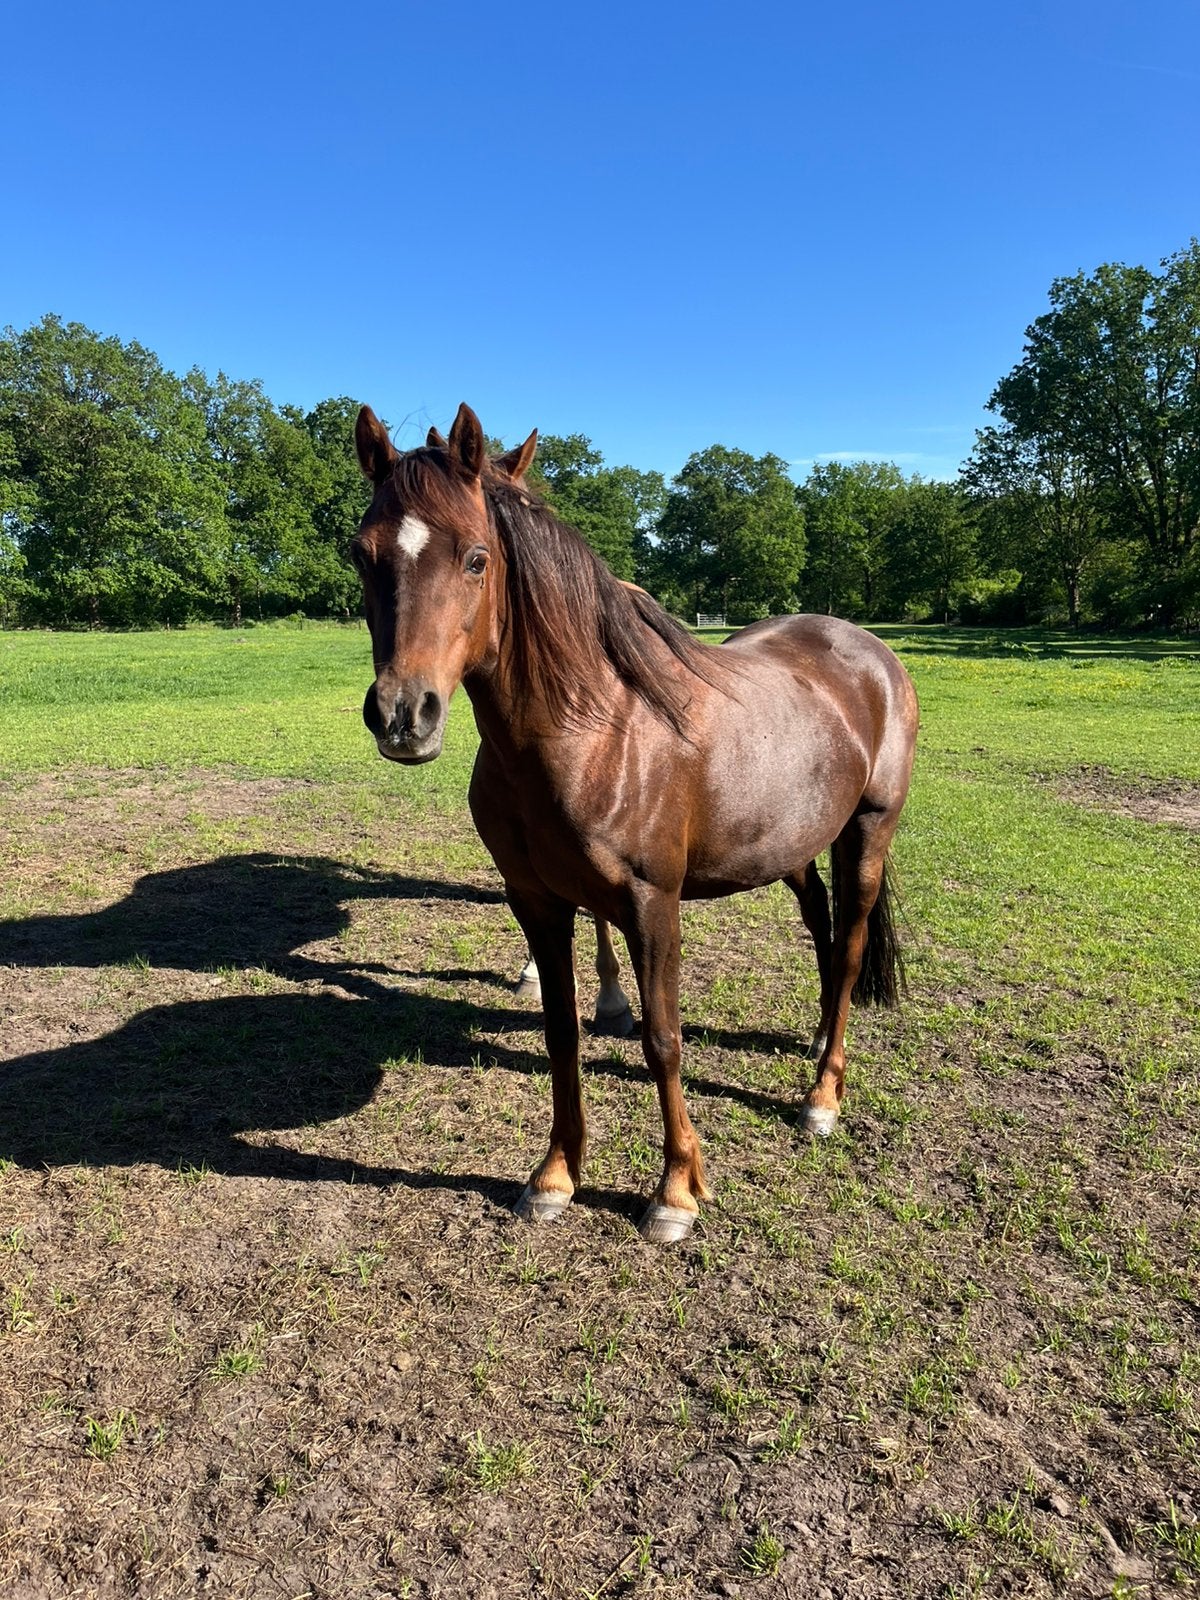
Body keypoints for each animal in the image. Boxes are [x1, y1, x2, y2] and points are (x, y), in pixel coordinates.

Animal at [351, 403, 919, 1243]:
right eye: (363, 556)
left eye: (477, 559)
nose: (401, 715)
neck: (593, 729)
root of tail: (868, 648)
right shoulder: (538, 903)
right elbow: (560, 1032)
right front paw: (555, 1176)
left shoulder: (654, 907)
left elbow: (663, 1040)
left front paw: (676, 1190)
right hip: (794, 842)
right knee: (819, 919)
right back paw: (819, 1034)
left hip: (868, 832)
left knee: (847, 947)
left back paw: (822, 1097)